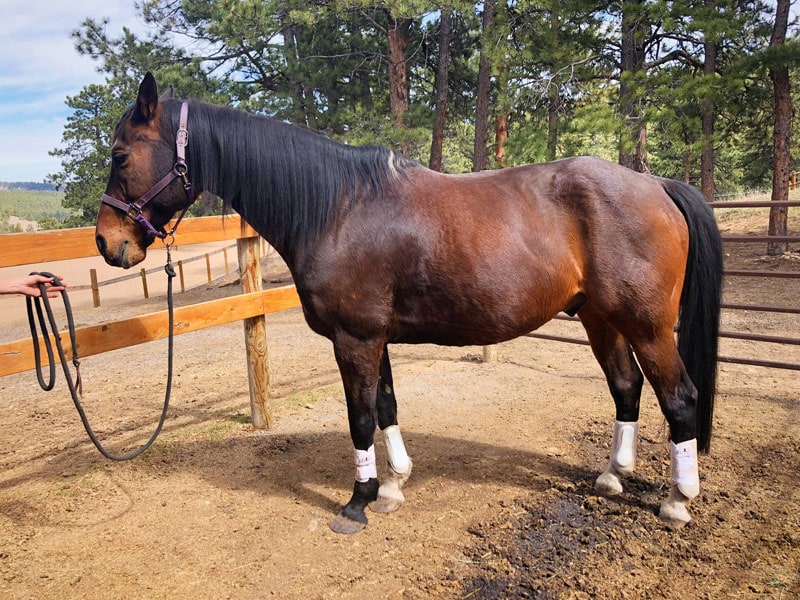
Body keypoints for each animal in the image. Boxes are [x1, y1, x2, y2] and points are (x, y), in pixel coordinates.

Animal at [95, 73, 723, 534]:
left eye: (121, 155)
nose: (107, 243)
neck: (338, 207)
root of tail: (656, 185)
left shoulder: (354, 340)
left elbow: (359, 417)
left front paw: (357, 501)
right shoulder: (376, 339)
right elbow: (387, 407)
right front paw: (394, 485)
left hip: (648, 326)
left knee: (680, 398)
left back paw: (677, 499)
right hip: (600, 319)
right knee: (626, 387)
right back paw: (613, 475)